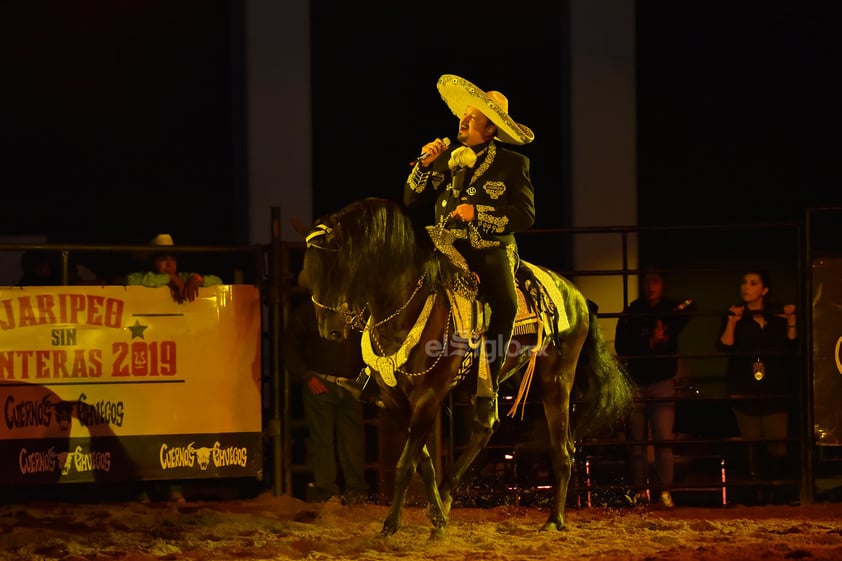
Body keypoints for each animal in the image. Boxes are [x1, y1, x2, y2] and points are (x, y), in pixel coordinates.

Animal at [302, 198, 632, 540]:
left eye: (341, 267)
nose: (329, 330)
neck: (408, 304)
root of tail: (578, 297)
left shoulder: (429, 395)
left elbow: (406, 463)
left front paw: (398, 522)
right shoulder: (394, 400)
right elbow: (422, 461)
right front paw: (432, 515)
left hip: (556, 380)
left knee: (560, 450)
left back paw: (554, 519)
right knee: (488, 429)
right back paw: (448, 494)